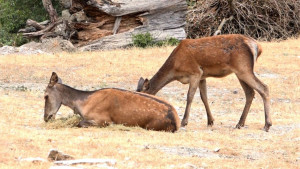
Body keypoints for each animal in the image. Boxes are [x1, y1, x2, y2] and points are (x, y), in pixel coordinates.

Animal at [44, 71, 180, 132]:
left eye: (45, 96)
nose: (46, 117)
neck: (81, 105)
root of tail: (177, 121)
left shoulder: (103, 119)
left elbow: (79, 123)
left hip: (151, 126)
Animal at [137, 34, 274, 131]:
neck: (175, 68)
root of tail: (258, 47)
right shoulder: (202, 76)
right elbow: (204, 97)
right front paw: (210, 121)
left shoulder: (195, 73)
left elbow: (190, 96)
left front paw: (184, 122)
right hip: (240, 72)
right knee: (250, 93)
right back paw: (240, 123)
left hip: (243, 69)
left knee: (264, 87)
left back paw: (267, 125)